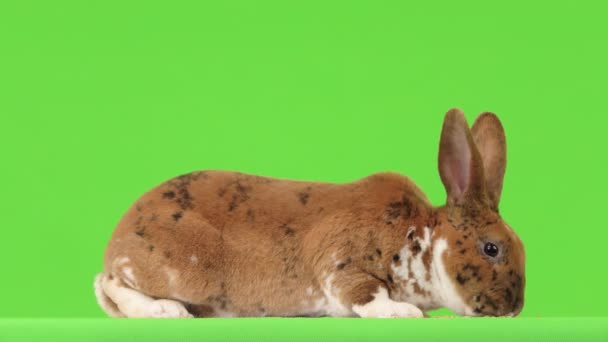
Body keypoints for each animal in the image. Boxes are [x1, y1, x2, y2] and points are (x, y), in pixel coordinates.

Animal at [95, 109, 528, 318]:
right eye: (491, 249)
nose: (515, 309)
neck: (419, 235)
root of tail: (116, 242)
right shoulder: (343, 263)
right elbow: (367, 294)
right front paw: (401, 313)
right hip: (185, 270)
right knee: (112, 284)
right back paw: (165, 311)